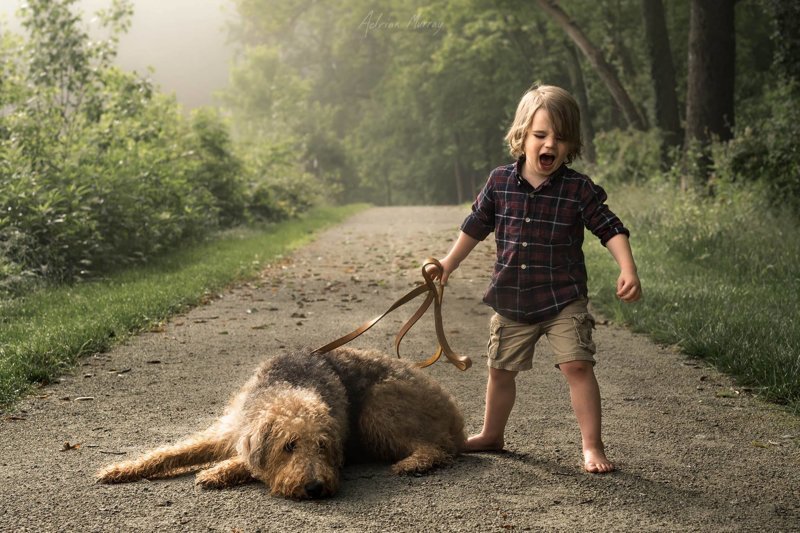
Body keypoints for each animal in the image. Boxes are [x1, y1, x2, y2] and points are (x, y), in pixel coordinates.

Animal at [96, 348, 466, 496]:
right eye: (289, 446)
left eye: (322, 446)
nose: (315, 488)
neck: (289, 387)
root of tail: (455, 415)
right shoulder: (229, 430)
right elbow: (172, 452)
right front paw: (119, 470)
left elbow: (246, 463)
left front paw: (216, 472)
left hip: (377, 408)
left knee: (436, 448)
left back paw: (413, 463)